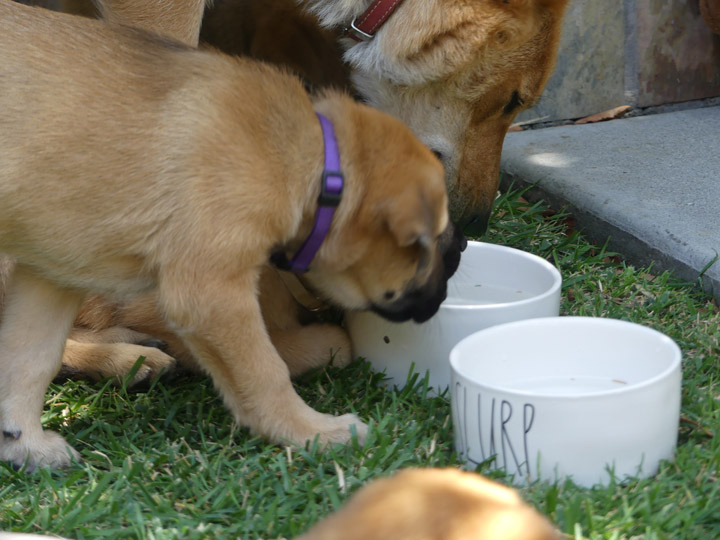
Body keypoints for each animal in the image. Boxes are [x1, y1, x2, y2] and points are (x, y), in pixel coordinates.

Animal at [0, 0, 458, 470]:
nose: (461, 245)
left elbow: (30, 357)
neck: (307, 161)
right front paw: (313, 430)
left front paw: (25, 443)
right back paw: (129, 358)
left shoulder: (51, 270)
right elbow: (276, 365)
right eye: (425, 246)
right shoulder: (205, 295)